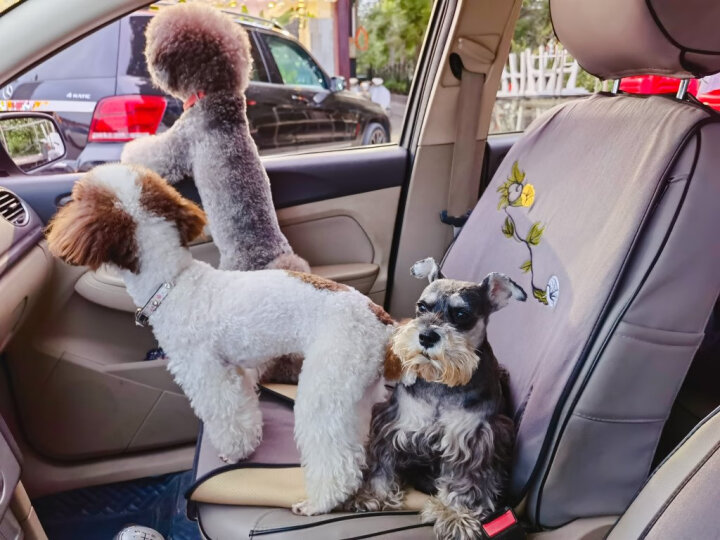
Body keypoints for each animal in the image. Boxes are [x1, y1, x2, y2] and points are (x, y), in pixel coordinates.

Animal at [122, 2, 308, 274]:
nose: (147, 56)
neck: (216, 96)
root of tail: (272, 259)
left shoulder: (180, 142)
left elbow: (152, 155)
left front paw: (128, 152)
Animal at [352, 258, 524, 540]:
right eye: (422, 306)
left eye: (462, 314)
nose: (427, 336)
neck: (440, 383)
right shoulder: (395, 423)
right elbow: (382, 464)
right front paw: (372, 495)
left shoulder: (472, 439)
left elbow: (465, 482)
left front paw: (456, 515)